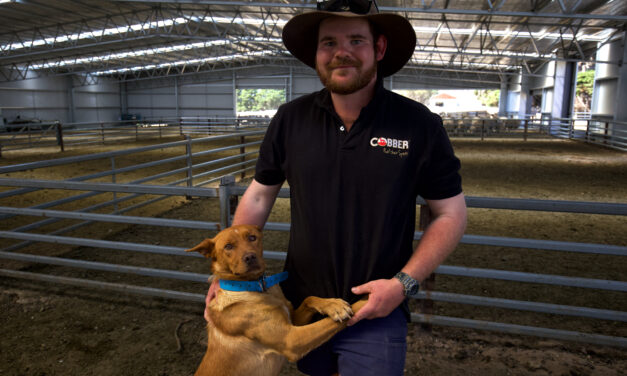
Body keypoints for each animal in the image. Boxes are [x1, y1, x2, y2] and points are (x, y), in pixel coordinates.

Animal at [184, 225, 366, 376]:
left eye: (252, 237)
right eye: (228, 246)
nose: (250, 257)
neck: (256, 287)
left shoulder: (294, 322)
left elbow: (309, 298)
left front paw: (331, 304)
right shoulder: (292, 340)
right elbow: (330, 321)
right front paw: (366, 300)